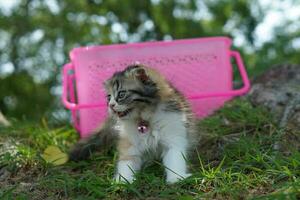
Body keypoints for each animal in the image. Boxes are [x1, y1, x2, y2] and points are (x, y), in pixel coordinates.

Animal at [69, 63, 198, 183]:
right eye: (109, 97)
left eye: (121, 94)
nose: (111, 105)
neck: (144, 118)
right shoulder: (129, 143)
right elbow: (126, 162)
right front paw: (122, 181)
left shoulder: (173, 134)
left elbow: (175, 158)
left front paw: (176, 178)